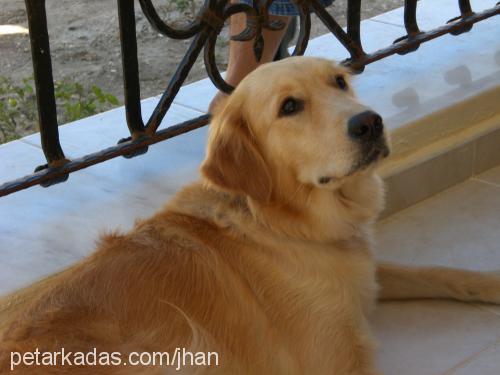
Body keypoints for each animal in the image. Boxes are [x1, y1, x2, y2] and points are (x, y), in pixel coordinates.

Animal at [0, 56, 500, 375]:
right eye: (290, 107)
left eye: (339, 82)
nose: (370, 122)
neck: (282, 224)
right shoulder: (335, 358)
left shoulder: (364, 276)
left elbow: (435, 270)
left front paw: (490, 284)